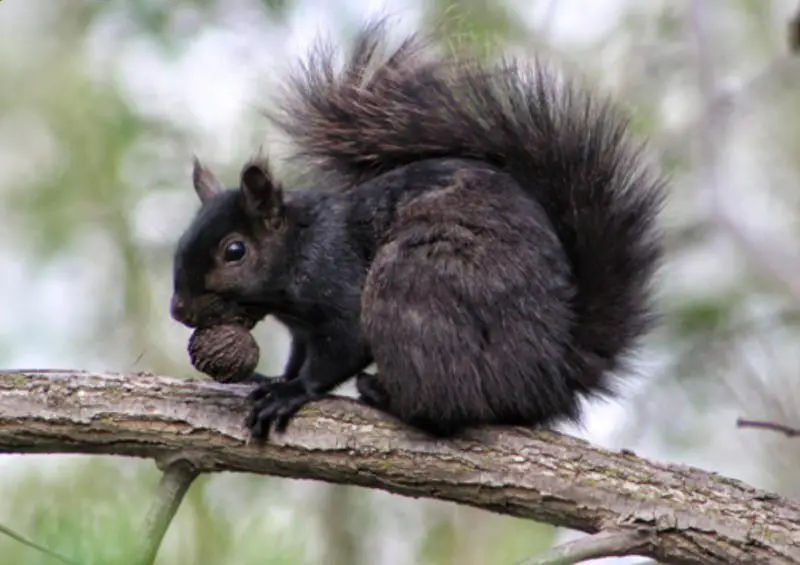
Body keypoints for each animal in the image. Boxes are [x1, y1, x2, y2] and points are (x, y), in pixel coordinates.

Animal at [169, 20, 666, 440]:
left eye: (235, 251)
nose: (180, 310)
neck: (300, 244)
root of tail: (549, 381)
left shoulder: (338, 281)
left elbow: (340, 348)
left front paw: (292, 392)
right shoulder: (300, 330)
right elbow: (298, 356)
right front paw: (278, 378)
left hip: (412, 286)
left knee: (449, 406)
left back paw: (384, 395)